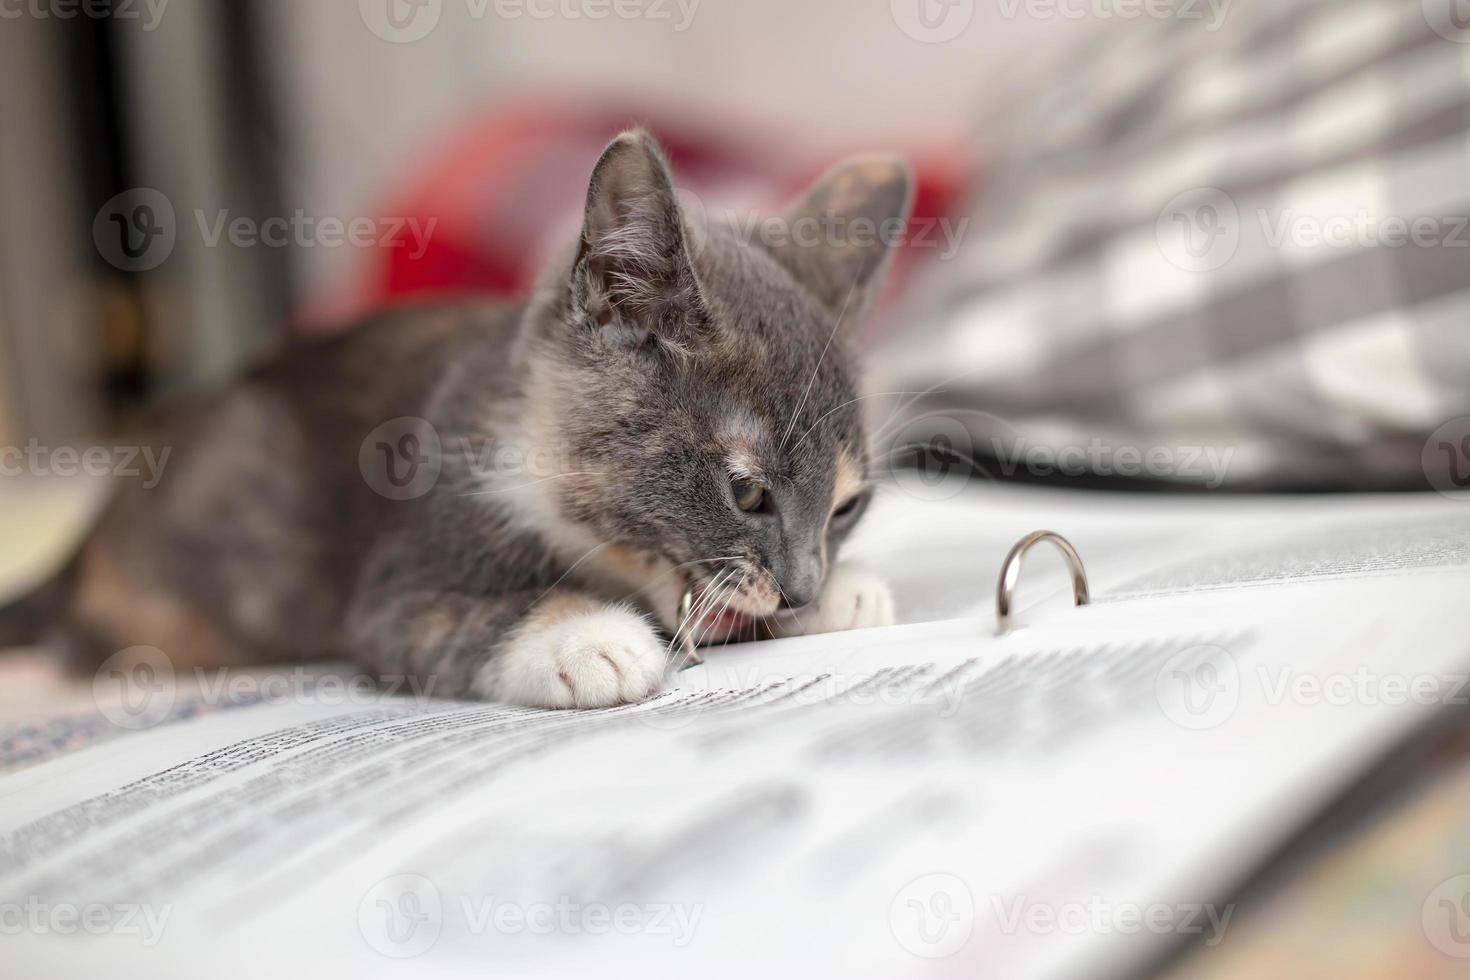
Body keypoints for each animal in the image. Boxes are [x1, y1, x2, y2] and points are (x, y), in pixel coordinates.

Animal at [0, 134, 911, 708]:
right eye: (746, 492)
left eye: (846, 506)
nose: (801, 586)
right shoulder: (394, 585)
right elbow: (442, 622)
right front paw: (583, 639)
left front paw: (844, 592)